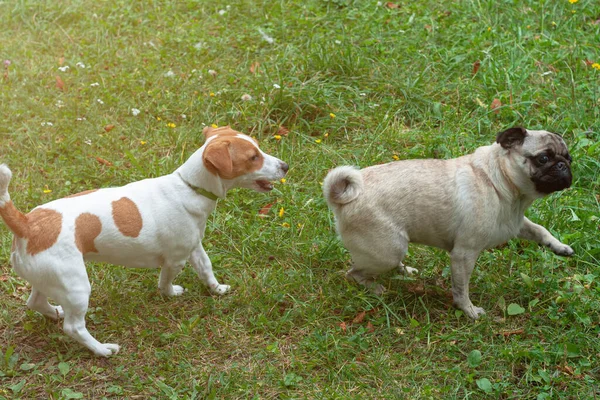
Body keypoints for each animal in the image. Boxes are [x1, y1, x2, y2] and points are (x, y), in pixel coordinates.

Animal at [0, 126, 288, 356]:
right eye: (253, 157)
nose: (285, 166)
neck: (189, 186)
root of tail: (26, 223)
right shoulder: (175, 259)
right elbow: (165, 281)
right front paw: (170, 294)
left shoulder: (194, 247)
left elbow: (206, 269)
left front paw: (216, 289)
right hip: (76, 285)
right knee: (73, 327)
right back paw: (102, 350)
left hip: (49, 278)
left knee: (35, 302)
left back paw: (55, 312)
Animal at [326, 126, 576, 318]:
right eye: (543, 158)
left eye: (569, 157)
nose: (563, 165)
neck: (501, 182)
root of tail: (343, 198)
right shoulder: (464, 255)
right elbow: (461, 289)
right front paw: (469, 311)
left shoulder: (516, 223)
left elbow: (540, 230)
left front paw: (559, 247)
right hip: (387, 250)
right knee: (353, 273)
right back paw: (374, 287)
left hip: (391, 248)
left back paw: (405, 270)